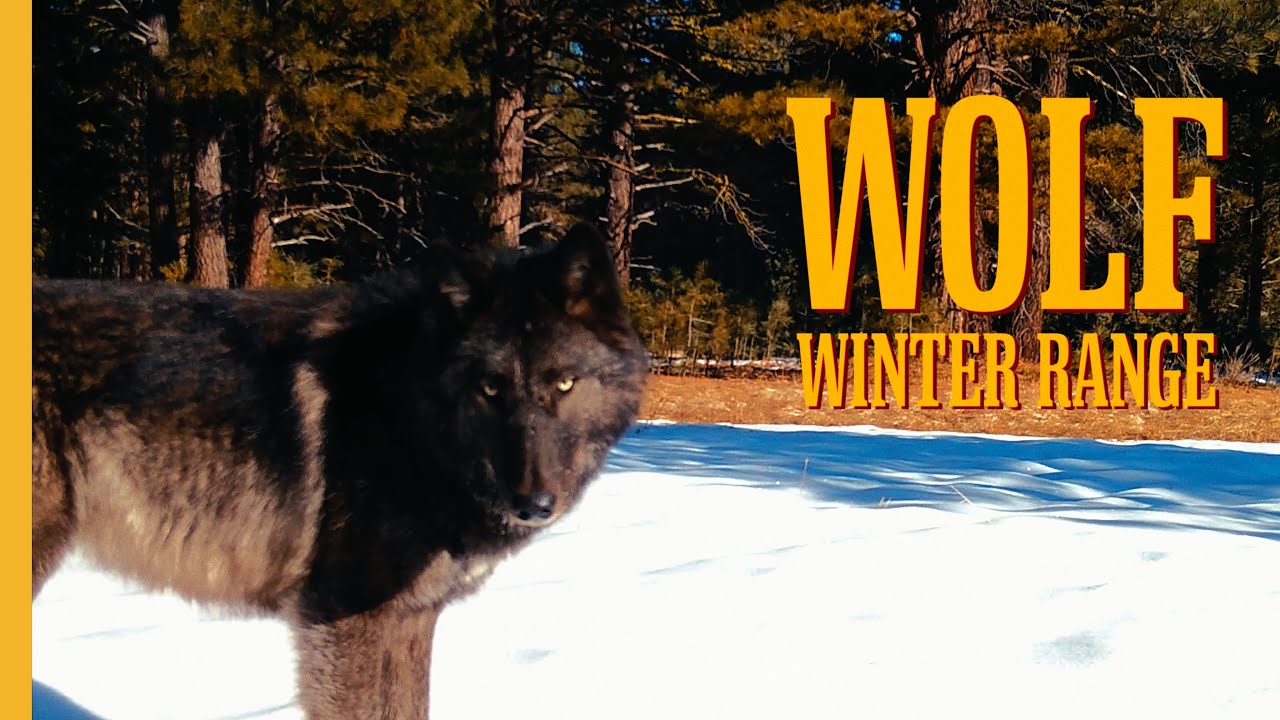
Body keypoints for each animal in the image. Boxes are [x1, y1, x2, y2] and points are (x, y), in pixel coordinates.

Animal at [32, 224, 648, 718]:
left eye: (564, 383)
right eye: (491, 389)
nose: (533, 505)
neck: (408, 416)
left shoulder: (409, 618)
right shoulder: (346, 617)